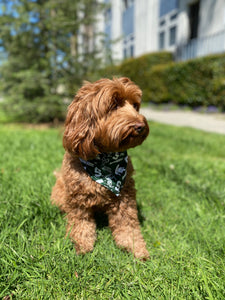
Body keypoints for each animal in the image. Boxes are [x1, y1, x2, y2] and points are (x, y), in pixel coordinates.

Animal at [51, 77, 149, 260]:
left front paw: (136, 247)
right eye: (114, 105)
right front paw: (82, 245)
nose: (140, 126)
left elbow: (128, 224)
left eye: (135, 105)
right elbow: (81, 223)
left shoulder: (125, 196)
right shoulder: (78, 198)